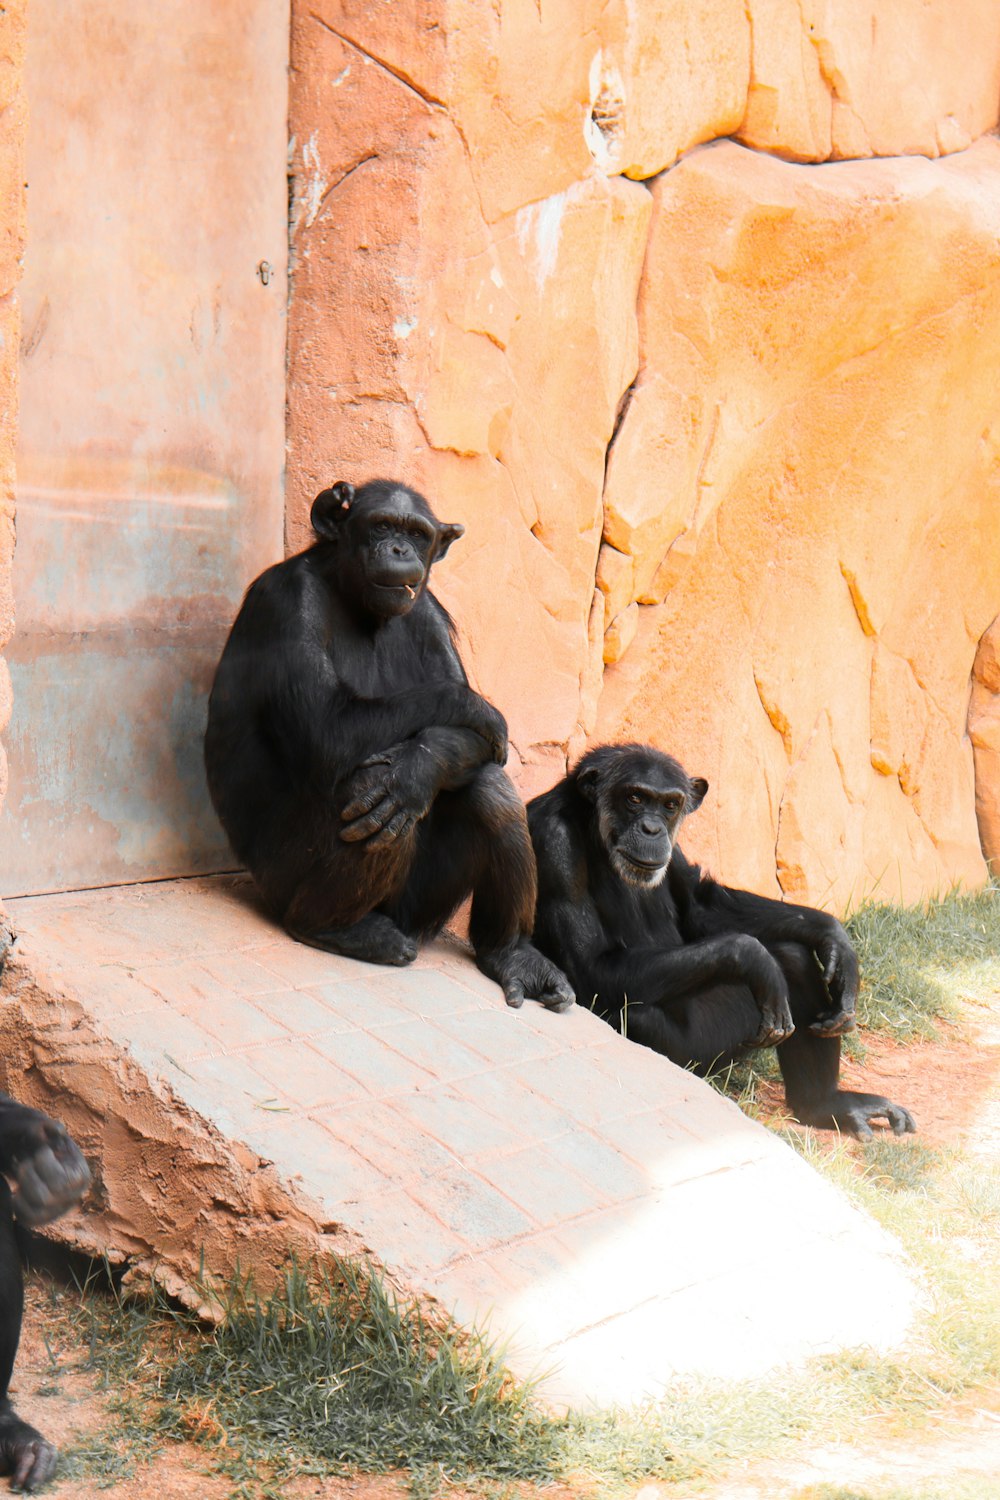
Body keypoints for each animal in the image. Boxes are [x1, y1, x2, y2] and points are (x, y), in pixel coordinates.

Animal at [203, 480, 569, 1014]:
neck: (357, 602)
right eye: (380, 526)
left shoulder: (431, 613)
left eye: (415, 534)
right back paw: (334, 928)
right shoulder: (288, 603)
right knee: (368, 783)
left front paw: (419, 769)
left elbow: (460, 744)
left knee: (489, 789)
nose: (398, 550)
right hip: (281, 883)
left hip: (417, 908)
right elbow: (331, 728)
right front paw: (477, 708)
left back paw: (513, 953)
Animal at [527, 738, 917, 1134]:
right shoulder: (556, 846)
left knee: (793, 955)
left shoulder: (676, 855)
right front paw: (754, 957)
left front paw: (834, 938)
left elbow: (701, 905)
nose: (652, 828)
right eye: (634, 798)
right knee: (637, 1014)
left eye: (670, 805)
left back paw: (825, 1105)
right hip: (707, 1048)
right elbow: (591, 964)